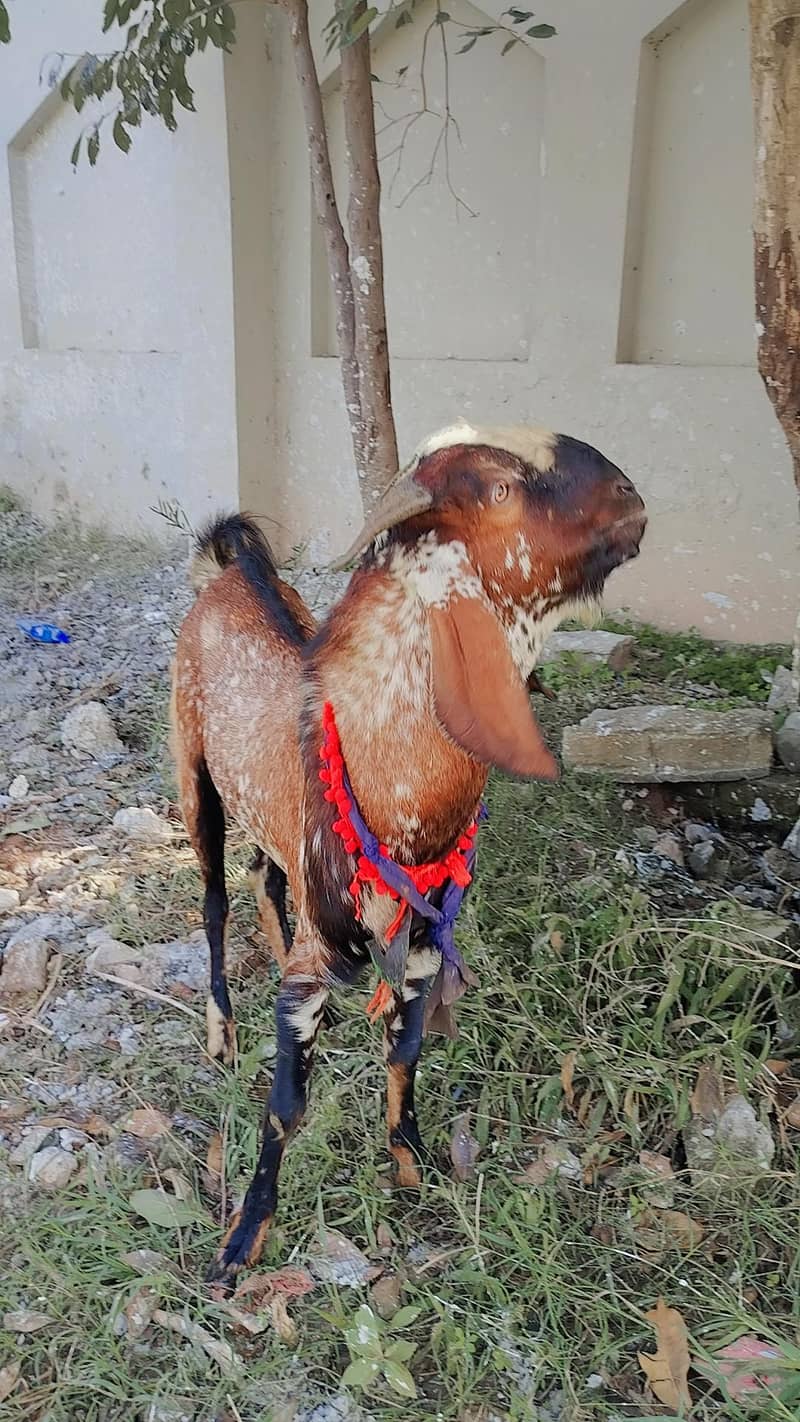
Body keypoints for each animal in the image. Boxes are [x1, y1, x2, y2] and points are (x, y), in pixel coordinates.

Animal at [170, 421, 646, 1287]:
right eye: (501, 489)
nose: (631, 498)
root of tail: (227, 574)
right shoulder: (315, 969)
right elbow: (286, 1106)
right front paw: (242, 1239)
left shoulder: (425, 944)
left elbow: (407, 1052)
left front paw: (412, 1164)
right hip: (193, 776)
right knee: (214, 900)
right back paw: (220, 1029)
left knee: (263, 876)